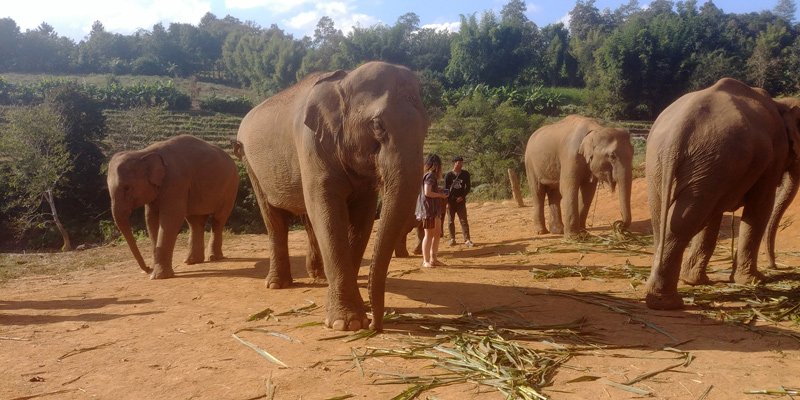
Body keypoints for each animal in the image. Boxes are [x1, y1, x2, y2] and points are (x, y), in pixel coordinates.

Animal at [106, 134, 239, 278]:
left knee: (218, 219)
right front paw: (156, 273)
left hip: (231, 187)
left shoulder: (176, 181)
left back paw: (213, 258)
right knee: (195, 221)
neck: (143, 152)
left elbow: (171, 217)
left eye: (127, 188)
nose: (147, 268)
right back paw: (191, 261)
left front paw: (158, 276)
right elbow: (151, 218)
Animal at [234, 61, 428, 332]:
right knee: (273, 219)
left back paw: (318, 276)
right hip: (251, 165)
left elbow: (362, 218)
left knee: (306, 218)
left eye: (427, 128)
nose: (376, 325)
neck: (343, 82)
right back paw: (277, 284)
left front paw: (357, 312)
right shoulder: (310, 144)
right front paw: (347, 323)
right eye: (377, 126)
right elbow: (328, 213)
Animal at [644, 78, 800, 310]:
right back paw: (668, 303)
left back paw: (662, 296)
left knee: (669, 218)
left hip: (675, 164)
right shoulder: (772, 157)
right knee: (684, 221)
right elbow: (760, 207)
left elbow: (713, 218)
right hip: (711, 157)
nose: (775, 266)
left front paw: (696, 281)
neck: (781, 103)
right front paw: (754, 281)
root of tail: (679, 129)